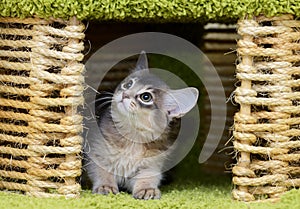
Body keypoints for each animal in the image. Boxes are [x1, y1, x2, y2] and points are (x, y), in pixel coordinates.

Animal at [84, 51, 198, 199]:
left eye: (146, 97)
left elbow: (148, 178)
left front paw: (147, 189)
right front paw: (105, 186)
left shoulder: (152, 165)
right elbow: (102, 172)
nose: (125, 94)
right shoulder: (96, 155)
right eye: (128, 84)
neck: (132, 137)